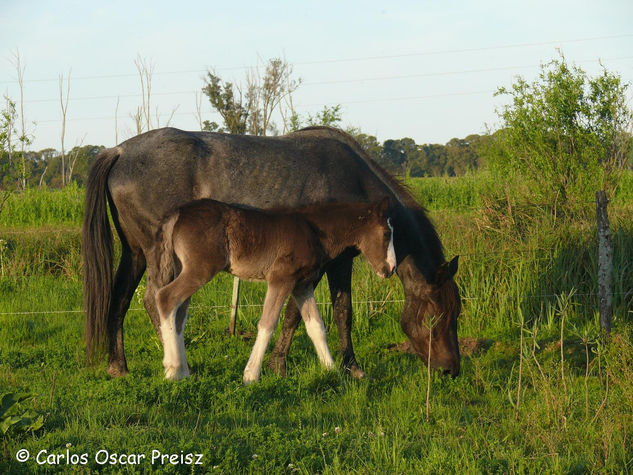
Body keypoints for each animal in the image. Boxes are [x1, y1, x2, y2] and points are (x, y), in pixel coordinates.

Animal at [82, 126, 460, 380]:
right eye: (436, 315)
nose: (451, 369)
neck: (351, 180)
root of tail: (118, 151)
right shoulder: (334, 264)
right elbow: (331, 312)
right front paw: (341, 367)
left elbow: (312, 315)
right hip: (156, 254)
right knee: (156, 300)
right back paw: (175, 364)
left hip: (136, 252)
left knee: (121, 298)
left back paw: (119, 366)